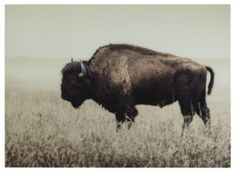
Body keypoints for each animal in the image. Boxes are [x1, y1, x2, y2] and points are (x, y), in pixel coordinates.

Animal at [60, 43, 214, 135]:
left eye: (73, 79)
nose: (63, 95)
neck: (96, 73)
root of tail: (202, 66)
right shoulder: (119, 110)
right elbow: (119, 122)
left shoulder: (127, 107)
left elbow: (128, 119)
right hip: (199, 100)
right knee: (204, 114)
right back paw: (207, 134)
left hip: (186, 100)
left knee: (189, 116)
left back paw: (182, 135)